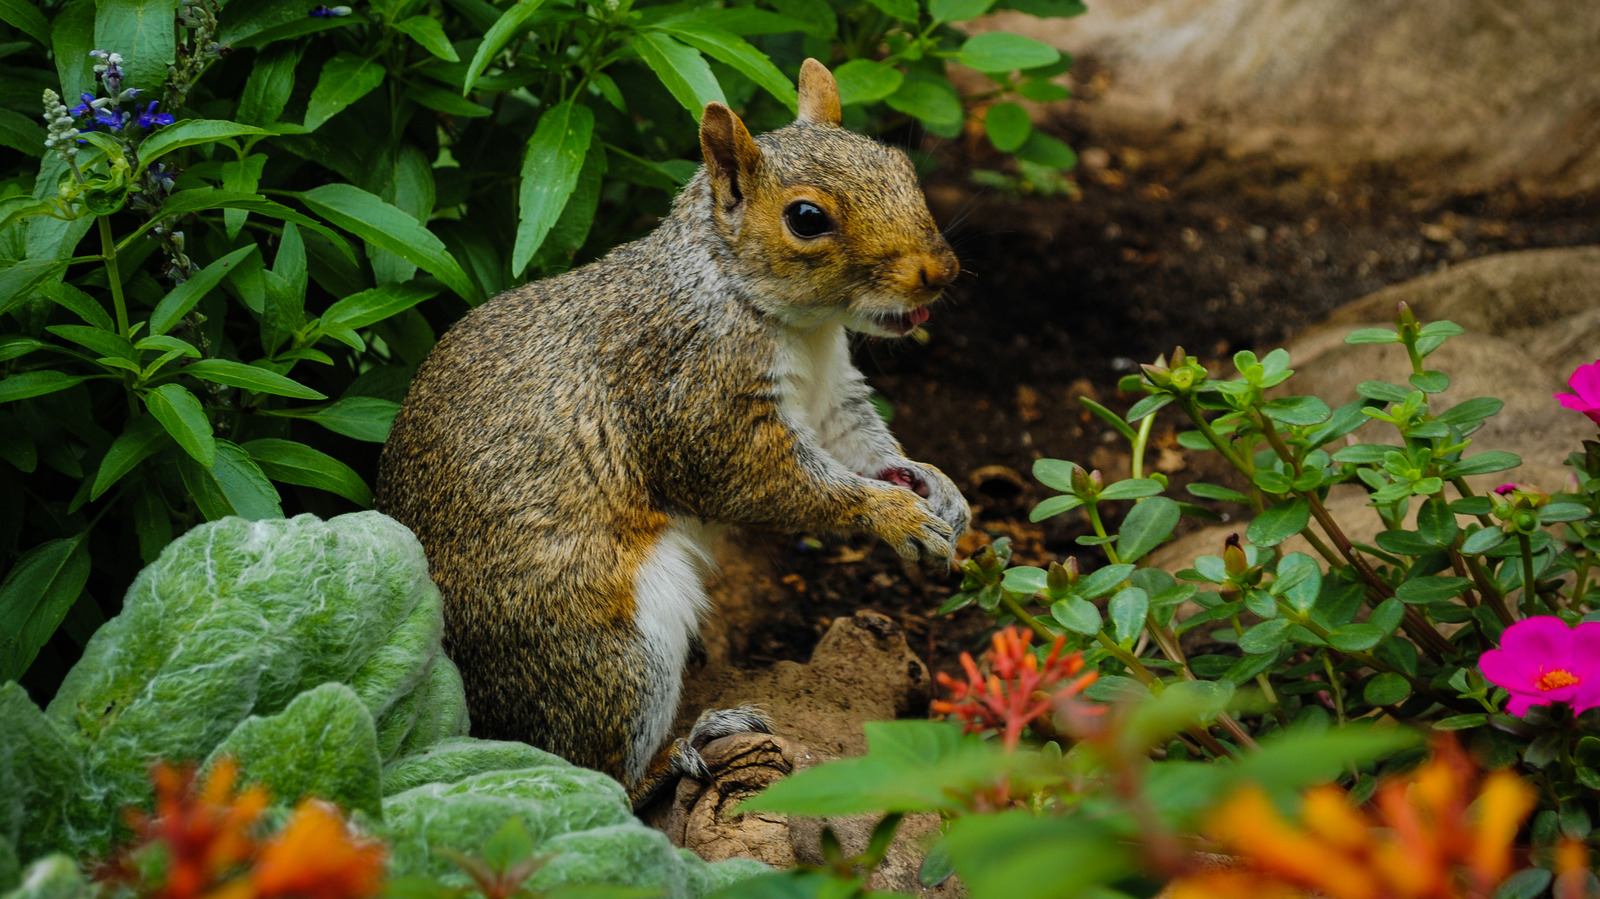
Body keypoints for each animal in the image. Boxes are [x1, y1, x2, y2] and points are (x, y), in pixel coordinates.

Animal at [374, 59, 970, 805]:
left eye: (899, 165)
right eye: (807, 218)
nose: (941, 272)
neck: (794, 323)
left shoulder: (831, 395)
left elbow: (859, 443)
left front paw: (936, 487)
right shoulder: (691, 391)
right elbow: (761, 479)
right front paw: (893, 514)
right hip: (608, 640)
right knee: (600, 774)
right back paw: (684, 746)